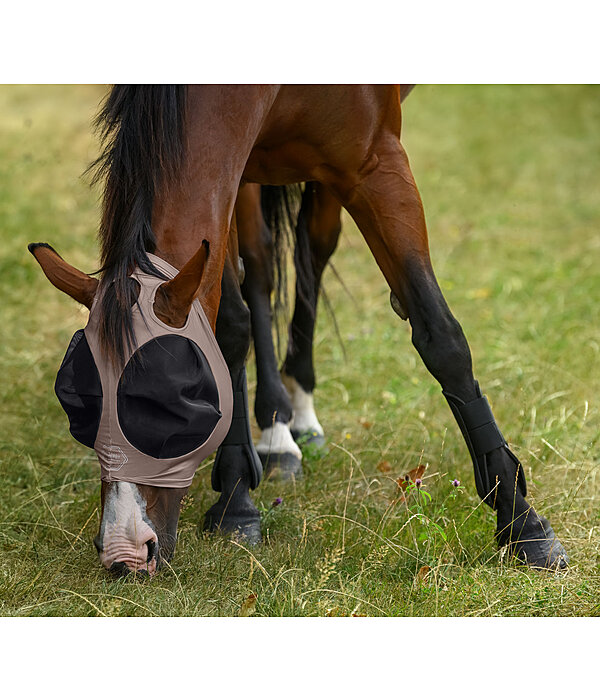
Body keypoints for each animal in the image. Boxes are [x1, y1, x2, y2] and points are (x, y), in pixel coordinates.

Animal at [30, 85, 568, 576]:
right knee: (264, 267)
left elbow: (441, 335)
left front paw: (523, 524)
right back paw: (275, 432)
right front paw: (236, 500)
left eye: (177, 404)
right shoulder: (234, 167)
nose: (124, 552)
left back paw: (297, 415)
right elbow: (231, 324)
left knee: (313, 250)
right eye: (81, 407)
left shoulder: (375, 163)